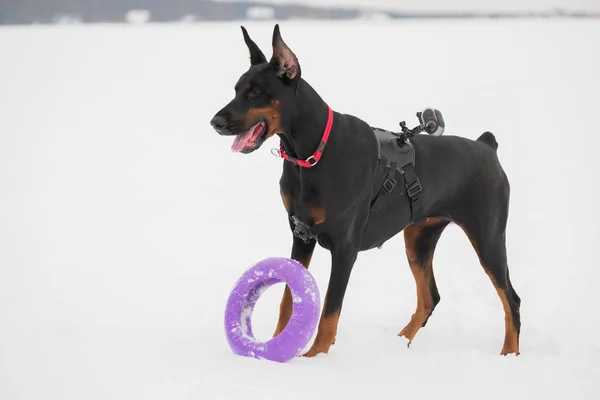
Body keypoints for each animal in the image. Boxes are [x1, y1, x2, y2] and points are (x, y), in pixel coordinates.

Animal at [211, 24, 520, 356]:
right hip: (419, 237)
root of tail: (487, 146)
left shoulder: (345, 248)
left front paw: (314, 357)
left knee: (510, 298)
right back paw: (399, 343)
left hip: (487, 235)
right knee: (430, 297)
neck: (312, 152)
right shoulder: (300, 234)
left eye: (255, 91)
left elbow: (329, 312)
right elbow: (288, 299)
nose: (215, 122)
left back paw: (509, 353)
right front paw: (277, 344)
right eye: (236, 89)